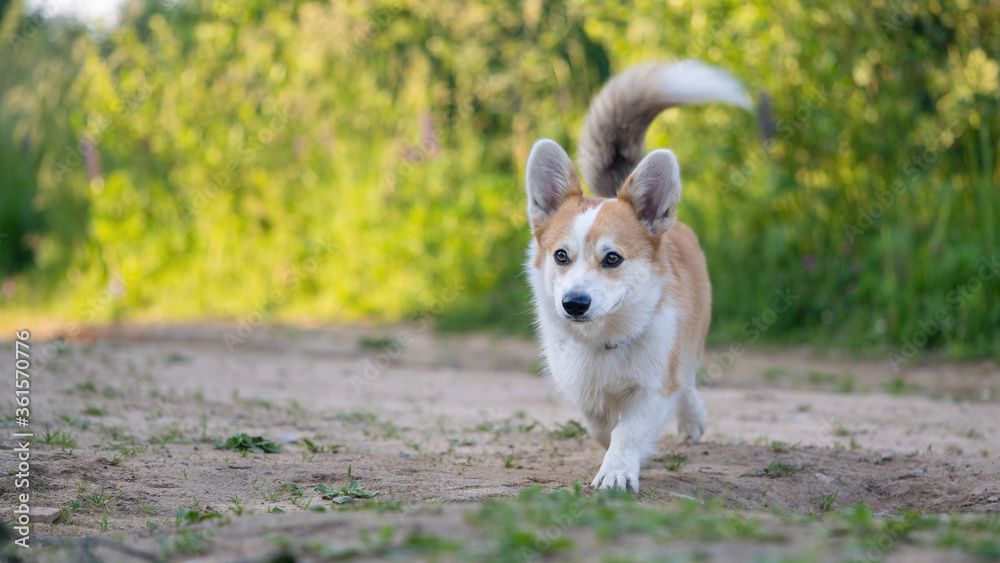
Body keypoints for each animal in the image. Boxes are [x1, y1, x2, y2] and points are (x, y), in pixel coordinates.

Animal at [524, 62, 752, 494]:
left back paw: (692, 418)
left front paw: (617, 471)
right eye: (561, 256)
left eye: (612, 258)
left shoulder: (653, 388)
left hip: (692, 340)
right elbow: (601, 426)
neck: (605, 340)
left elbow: (629, 431)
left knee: (689, 380)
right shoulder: (584, 391)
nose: (573, 304)